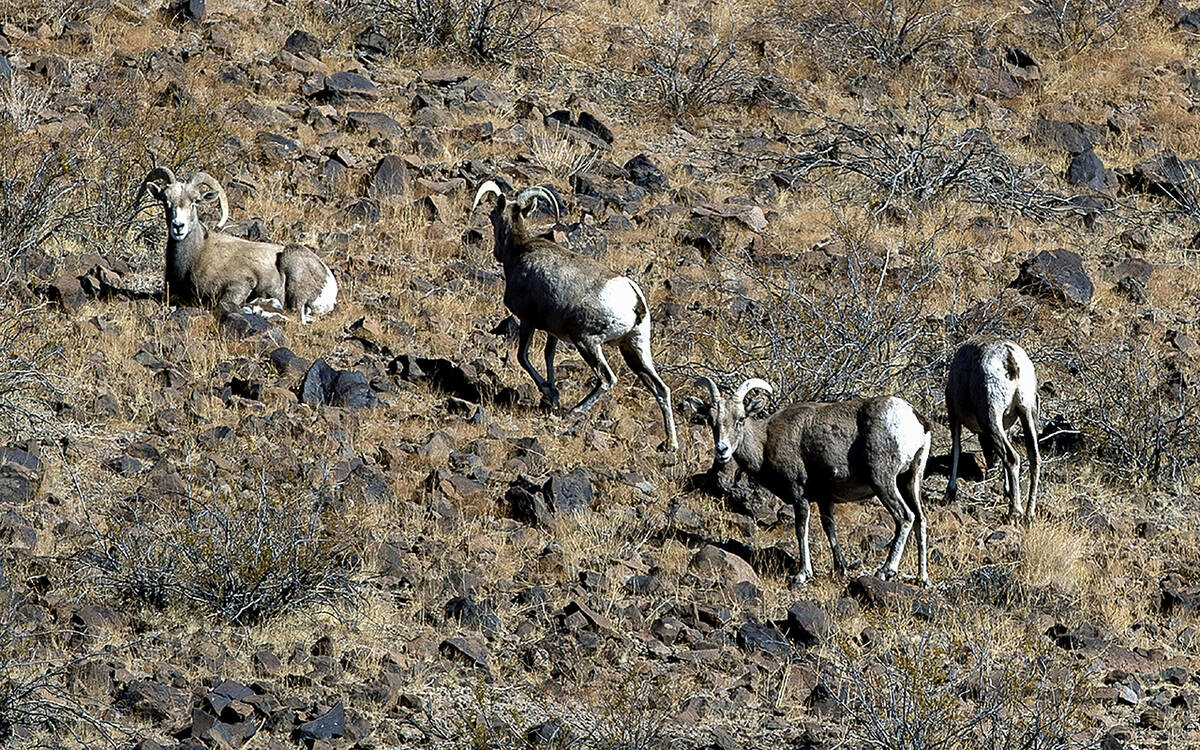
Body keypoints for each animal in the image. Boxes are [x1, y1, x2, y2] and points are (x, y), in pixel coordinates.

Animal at [138, 168, 340, 324]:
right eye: (166, 201)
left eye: (194, 202)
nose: (178, 226)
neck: (197, 256)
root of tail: (330, 284)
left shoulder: (241, 283)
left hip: (292, 264)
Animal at [472, 181, 681, 451]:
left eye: (491, 216)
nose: (496, 253)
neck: (519, 250)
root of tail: (634, 301)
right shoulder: (552, 332)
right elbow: (548, 357)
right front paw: (552, 394)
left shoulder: (528, 322)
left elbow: (523, 358)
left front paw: (550, 394)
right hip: (635, 348)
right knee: (661, 389)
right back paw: (671, 444)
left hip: (587, 342)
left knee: (607, 379)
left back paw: (575, 411)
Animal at [691, 379, 931, 585]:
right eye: (712, 421)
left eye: (740, 419)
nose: (722, 450)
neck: (765, 442)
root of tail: (917, 420)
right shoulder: (825, 499)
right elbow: (829, 529)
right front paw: (840, 568)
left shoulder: (799, 495)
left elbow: (801, 530)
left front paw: (802, 575)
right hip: (910, 480)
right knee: (920, 519)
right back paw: (923, 578)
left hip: (883, 481)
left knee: (905, 517)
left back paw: (886, 570)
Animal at [945, 338, 1041, 520]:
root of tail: (1009, 357)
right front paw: (1007, 490)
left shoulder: (953, 415)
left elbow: (956, 450)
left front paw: (950, 492)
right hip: (1027, 412)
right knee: (1034, 457)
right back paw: (1029, 514)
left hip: (991, 416)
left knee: (1011, 457)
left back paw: (1015, 512)